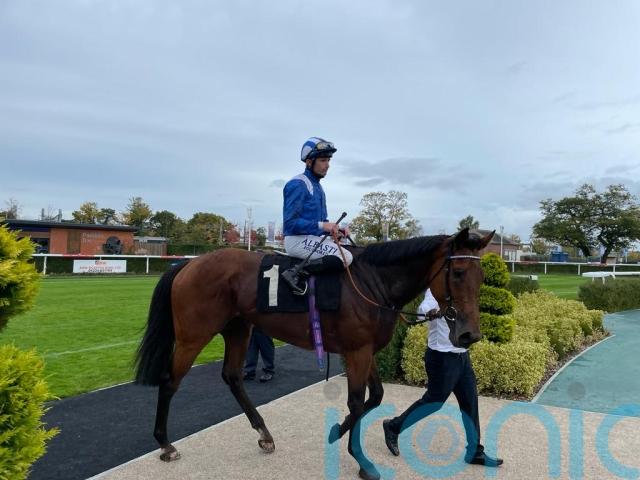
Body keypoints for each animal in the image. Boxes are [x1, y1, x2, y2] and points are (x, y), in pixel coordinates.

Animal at [134, 227, 493, 480]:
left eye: (482, 276)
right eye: (458, 273)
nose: (469, 334)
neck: (373, 282)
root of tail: (189, 264)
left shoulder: (365, 350)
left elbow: (375, 396)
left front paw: (338, 431)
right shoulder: (357, 351)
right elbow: (357, 401)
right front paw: (361, 460)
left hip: (238, 328)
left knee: (232, 377)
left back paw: (264, 434)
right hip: (193, 336)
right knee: (170, 381)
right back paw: (165, 444)